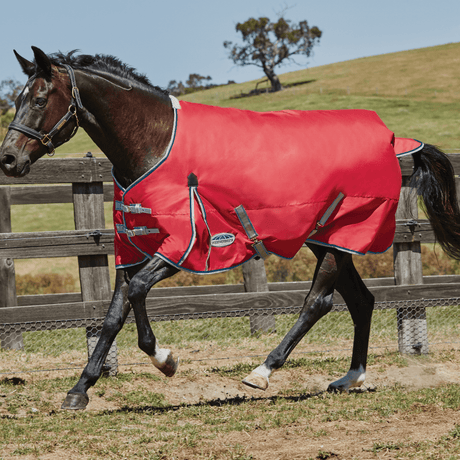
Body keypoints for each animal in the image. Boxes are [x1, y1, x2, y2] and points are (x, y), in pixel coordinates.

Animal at [0, 48, 460, 412]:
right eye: (17, 99)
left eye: (38, 99)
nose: (8, 159)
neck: (154, 143)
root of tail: (393, 138)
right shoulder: (133, 248)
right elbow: (113, 315)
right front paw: (79, 389)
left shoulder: (183, 247)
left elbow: (137, 295)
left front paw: (165, 359)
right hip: (327, 239)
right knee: (361, 300)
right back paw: (351, 378)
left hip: (339, 237)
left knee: (318, 302)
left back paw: (263, 370)